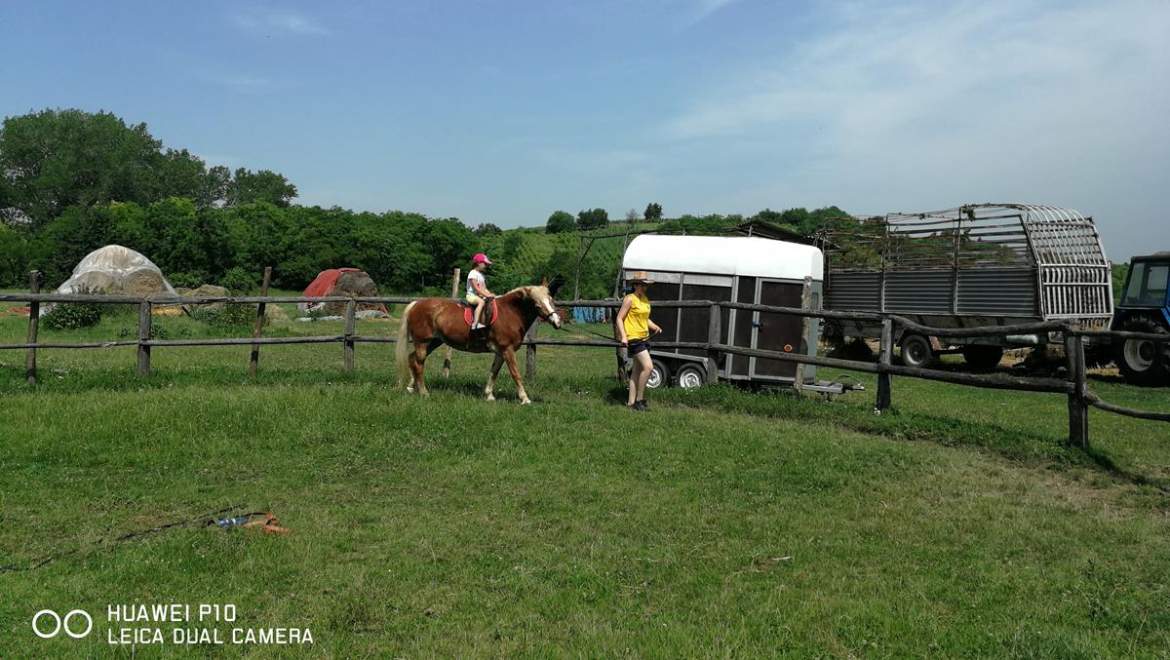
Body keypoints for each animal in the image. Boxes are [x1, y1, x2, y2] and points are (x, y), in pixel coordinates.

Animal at [395, 278, 563, 402]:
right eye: (537, 304)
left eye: (551, 300)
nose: (557, 322)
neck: (510, 312)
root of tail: (415, 304)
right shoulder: (507, 349)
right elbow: (515, 373)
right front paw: (525, 399)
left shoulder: (500, 351)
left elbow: (493, 372)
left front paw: (489, 395)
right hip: (422, 342)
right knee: (418, 364)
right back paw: (424, 392)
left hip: (434, 342)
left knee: (412, 359)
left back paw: (411, 388)